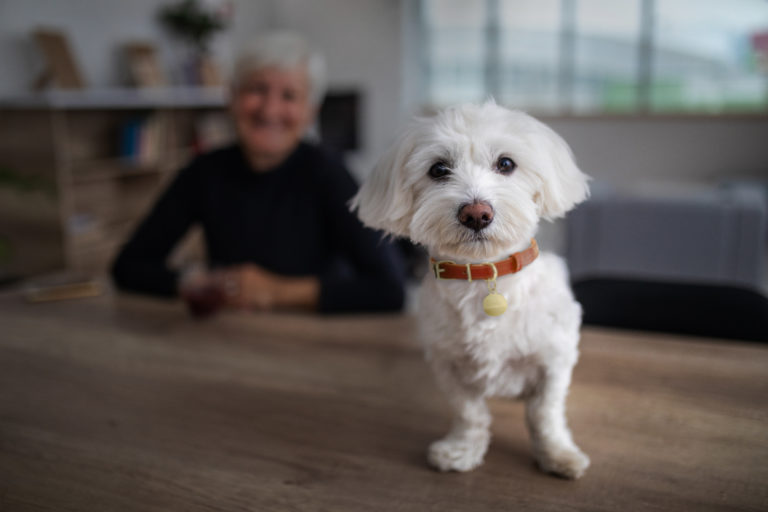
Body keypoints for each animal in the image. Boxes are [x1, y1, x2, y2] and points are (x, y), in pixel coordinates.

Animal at [352, 101, 592, 480]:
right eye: (438, 169)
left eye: (506, 164)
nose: (476, 213)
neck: (483, 275)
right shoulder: (448, 364)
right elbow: (469, 413)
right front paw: (463, 449)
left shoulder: (553, 360)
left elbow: (545, 413)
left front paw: (557, 453)